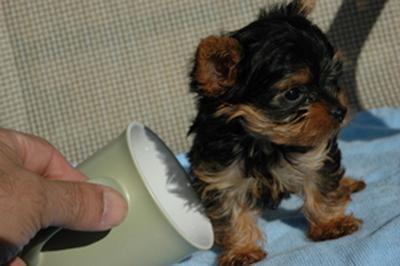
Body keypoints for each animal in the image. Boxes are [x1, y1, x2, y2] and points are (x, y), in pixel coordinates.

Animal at [187, 1, 366, 264]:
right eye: (293, 94)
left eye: (332, 79)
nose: (340, 111)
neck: (263, 142)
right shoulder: (221, 176)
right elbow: (231, 214)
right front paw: (242, 250)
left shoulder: (315, 155)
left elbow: (322, 187)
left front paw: (331, 224)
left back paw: (348, 184)